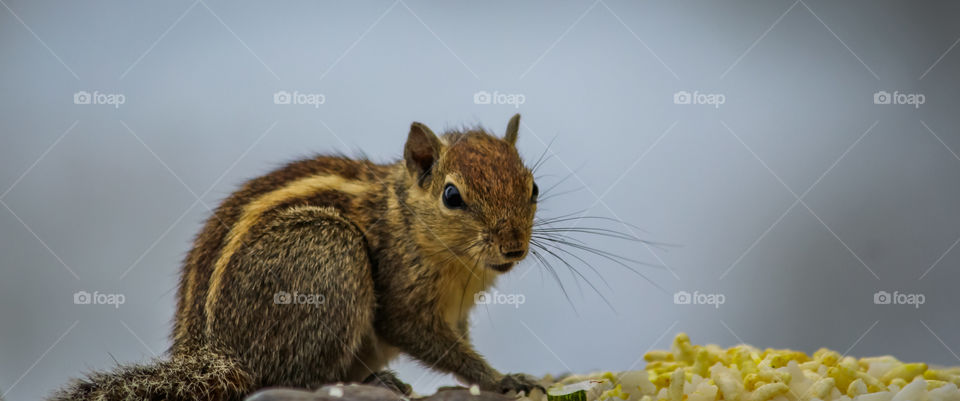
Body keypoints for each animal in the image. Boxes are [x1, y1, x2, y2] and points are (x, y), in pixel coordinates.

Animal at [51, 114, 545, 401]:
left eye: (534, 187)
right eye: (451, 196)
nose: (514, 246)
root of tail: (213, 354)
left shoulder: (456, 313)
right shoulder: (403, 295)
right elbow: (422, 335)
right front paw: (502, 379)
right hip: (332, 251)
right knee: (289, 376)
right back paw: (374, 381)